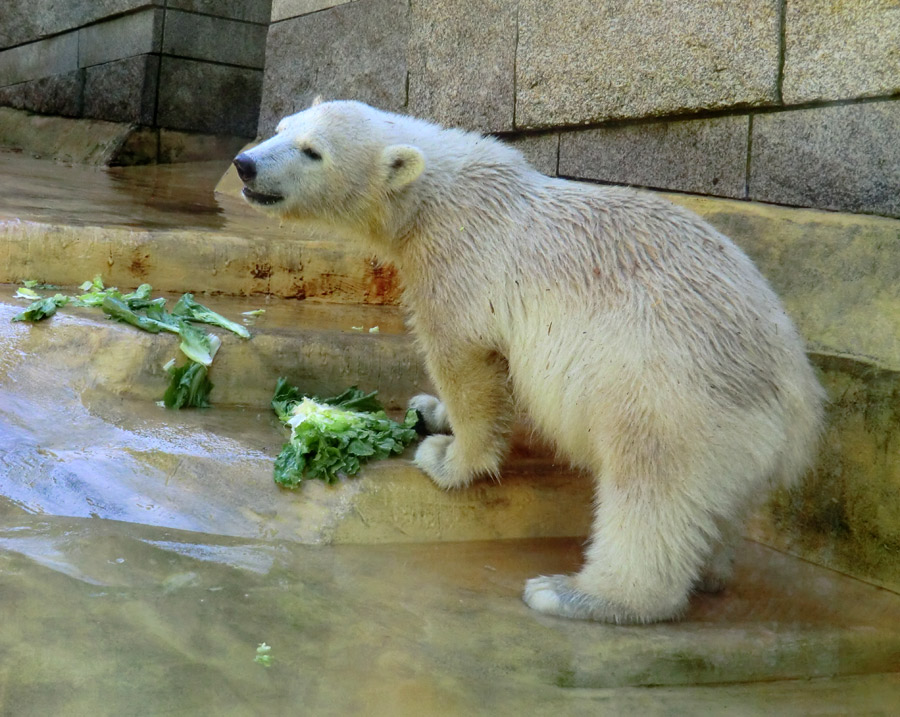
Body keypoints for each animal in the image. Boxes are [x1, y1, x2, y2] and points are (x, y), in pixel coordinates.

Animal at [236, 98, 828, 624]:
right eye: (280, 127)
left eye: (312, 151)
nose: (245, 163)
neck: (436, 195)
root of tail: (799, 405)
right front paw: (430, 410)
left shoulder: (459, 263)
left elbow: (466, 361)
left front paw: (449, 458)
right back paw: (708, 569)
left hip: (674, 391)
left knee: (650, 487)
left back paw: (575, 594)